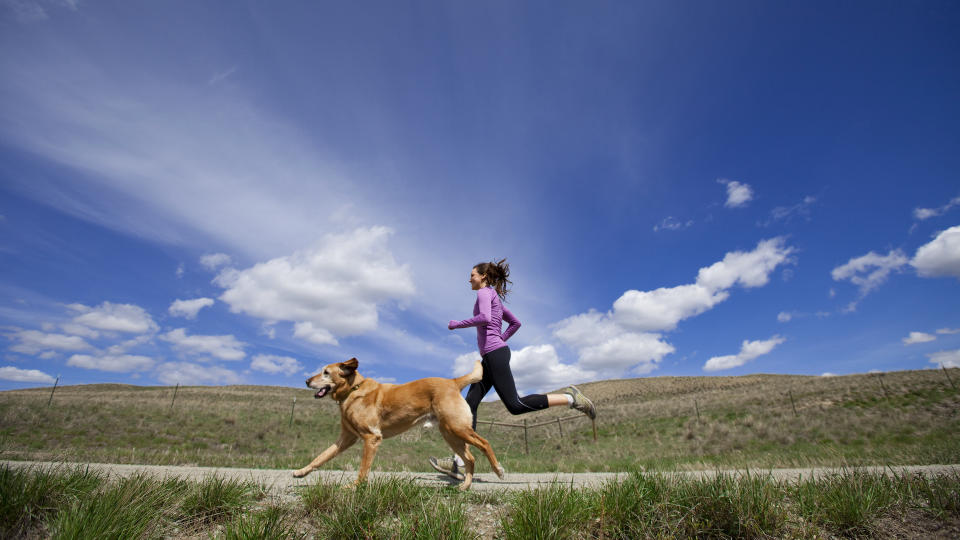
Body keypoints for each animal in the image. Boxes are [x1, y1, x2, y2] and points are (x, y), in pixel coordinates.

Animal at [290, 356, 502, 492]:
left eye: (325, 372)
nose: (306, 380)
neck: (353, 390)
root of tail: (453, 382)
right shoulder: (345, 439)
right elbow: (321, 457)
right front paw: (301, 472)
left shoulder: (371, 438)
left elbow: (363, 469)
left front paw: (355, 488)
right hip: (450, 434)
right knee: (470, 458)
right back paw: (465, 485)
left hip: (457, 429)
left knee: (484, 443)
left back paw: (498, 470)